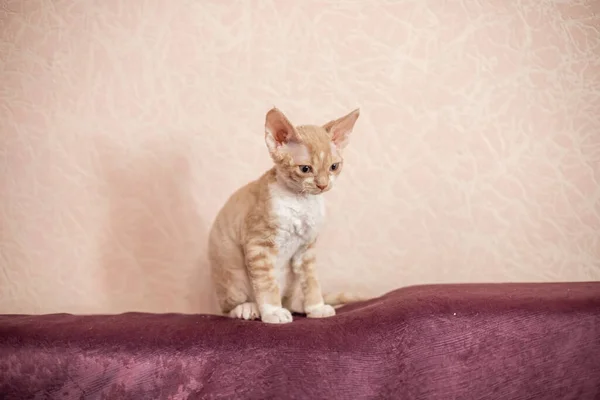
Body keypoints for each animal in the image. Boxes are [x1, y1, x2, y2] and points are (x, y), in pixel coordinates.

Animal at [209, 107, 360, 324]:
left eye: (334, 167)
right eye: (305, 169)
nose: (323, 185)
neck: (300, 202)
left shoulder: (306, 248)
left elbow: (311, 280)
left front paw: (316, 307)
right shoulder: (258, 245)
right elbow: (266, 283)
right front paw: (272, 312)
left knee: (290, 298)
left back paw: (297, 306)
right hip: (230, 272)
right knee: (229, 305)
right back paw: (247, 308)